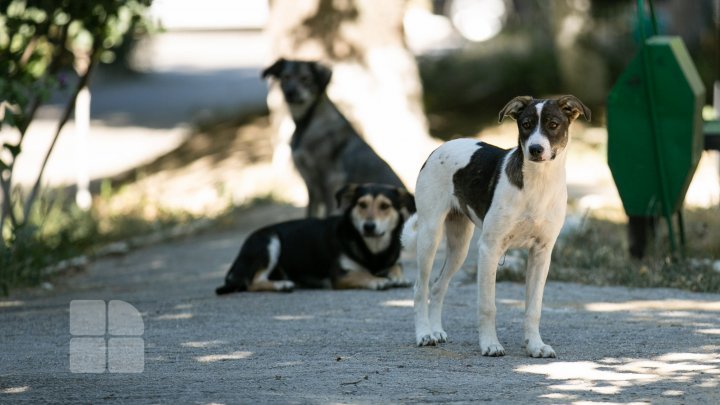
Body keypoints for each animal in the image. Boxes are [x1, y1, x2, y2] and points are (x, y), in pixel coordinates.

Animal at [215, 183, 416, 294]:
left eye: (385, 206)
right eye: (362, 204)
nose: (369, 226)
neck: (373, 250)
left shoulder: (392, 259)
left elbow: (397, 265)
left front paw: (399, 277)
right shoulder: (340, 275)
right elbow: (361, 273)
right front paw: (378, 280)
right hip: (269, 240)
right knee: (252, 282)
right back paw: (281, 285)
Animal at [262, 58, 408, 216]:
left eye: (306, 78)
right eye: (285, 77)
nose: (290, 93)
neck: (306, 122)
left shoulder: (331, 180)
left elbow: (328, 212)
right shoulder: (310, 185)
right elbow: (310, 213)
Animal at [402, 94, 588, 356]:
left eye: (553, 124)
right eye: (526, 124)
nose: (535, 149)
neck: (538, 183)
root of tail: (439, 148)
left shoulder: (541, 253)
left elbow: (534, 309)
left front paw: (535, 345)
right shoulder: (489, 249)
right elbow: (488, 306)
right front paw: (490, 344)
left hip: (460, 247)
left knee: (438, 286)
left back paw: (436, 331)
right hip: (430, 235)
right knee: (421, 287)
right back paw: (425, 334)